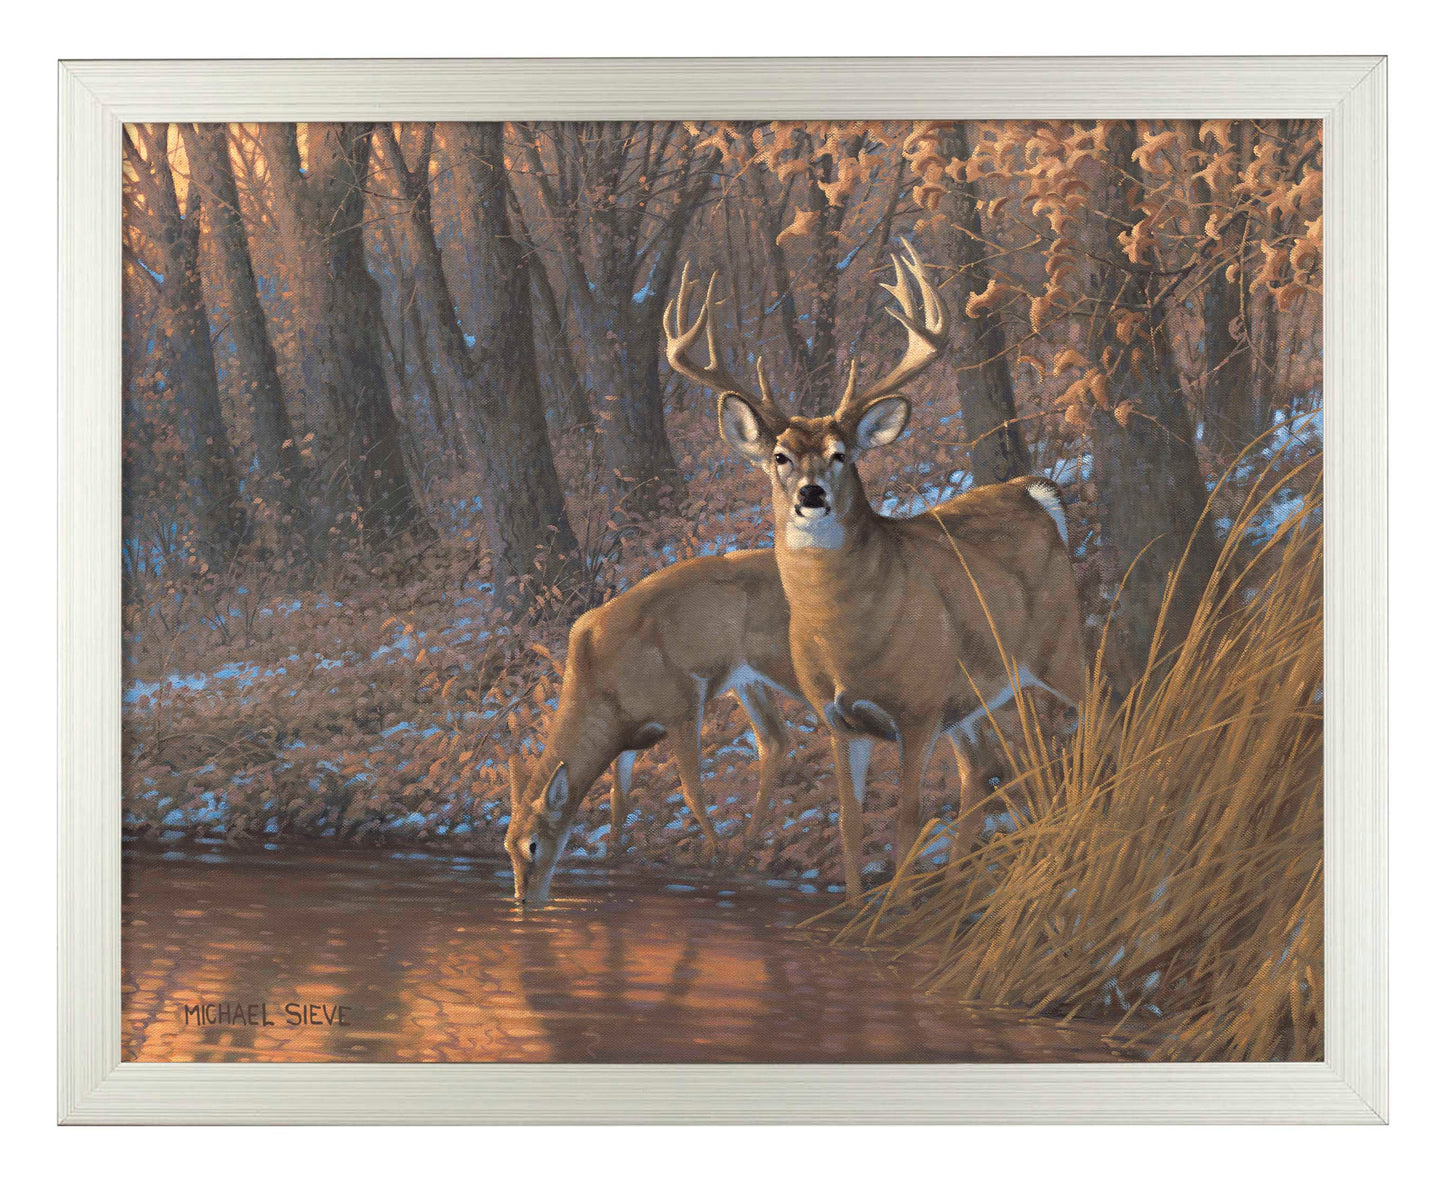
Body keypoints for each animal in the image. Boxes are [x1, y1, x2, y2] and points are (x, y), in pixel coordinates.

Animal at [505, 549, 877, 907]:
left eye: (533, 845)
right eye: (507, 846)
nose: (523, 898)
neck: (600, 685)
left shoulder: (682, 703)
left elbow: (691, 789)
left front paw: (716, 852)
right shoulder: (626, 743)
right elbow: (618, 800)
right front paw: (613, 855)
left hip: (786, 663)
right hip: (747, 680)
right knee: (775, 739)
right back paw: (749, 843)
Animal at [665, 244, 1087, 900]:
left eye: (842, 454)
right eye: (779, 456)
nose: (811, 494)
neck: (848, 638)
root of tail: (1032, 491)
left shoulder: (916, 710)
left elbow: (907, 823)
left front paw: (894, 909)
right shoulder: (841, 720)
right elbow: (850, 825)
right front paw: (860, 910)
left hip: (1056, 644)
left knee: (1102, 711)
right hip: (972, 692)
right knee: (985, 767)